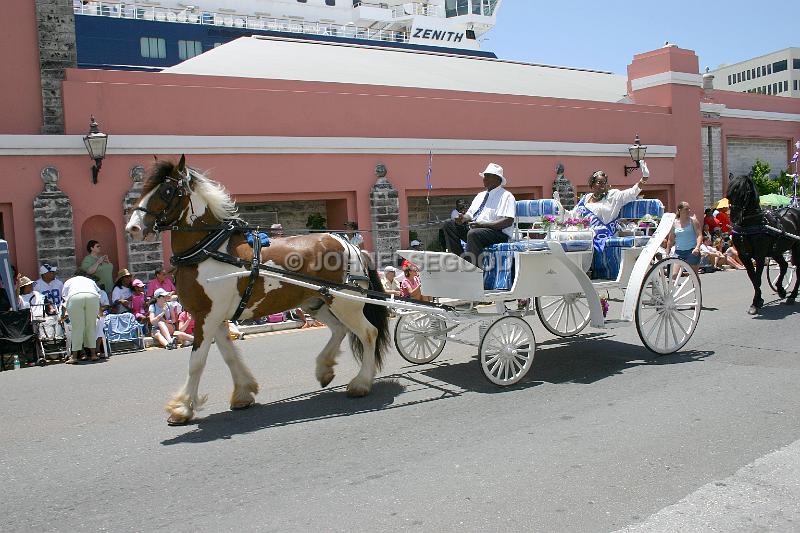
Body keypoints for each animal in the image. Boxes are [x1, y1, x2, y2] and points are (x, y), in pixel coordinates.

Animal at [125, 157, 390, 424]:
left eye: (167, 190)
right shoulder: (214, 317)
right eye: (145, 188)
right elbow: (229, 355)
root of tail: (349, 244)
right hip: (317, 301)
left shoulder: (206, 316)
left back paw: (361, 383)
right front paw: (243, 393)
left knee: (368, 333)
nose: (133, 227)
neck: (207, 249)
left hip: (346, 303)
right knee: (339, 329)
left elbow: (197, 362)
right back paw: (324, 369)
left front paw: (182, 408)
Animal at [724, 176, 800, 312]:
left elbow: (757, 279)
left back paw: (792, 295)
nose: (734, 218)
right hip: (776, 251)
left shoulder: (760, 255)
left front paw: (756, 302)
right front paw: (758, 301)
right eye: (729, 195)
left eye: (744, 194)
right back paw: (781, 290)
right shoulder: (744, 256)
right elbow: (753, 278)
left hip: (796, 248)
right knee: (784, 265)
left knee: (797, 269)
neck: (749, 225)